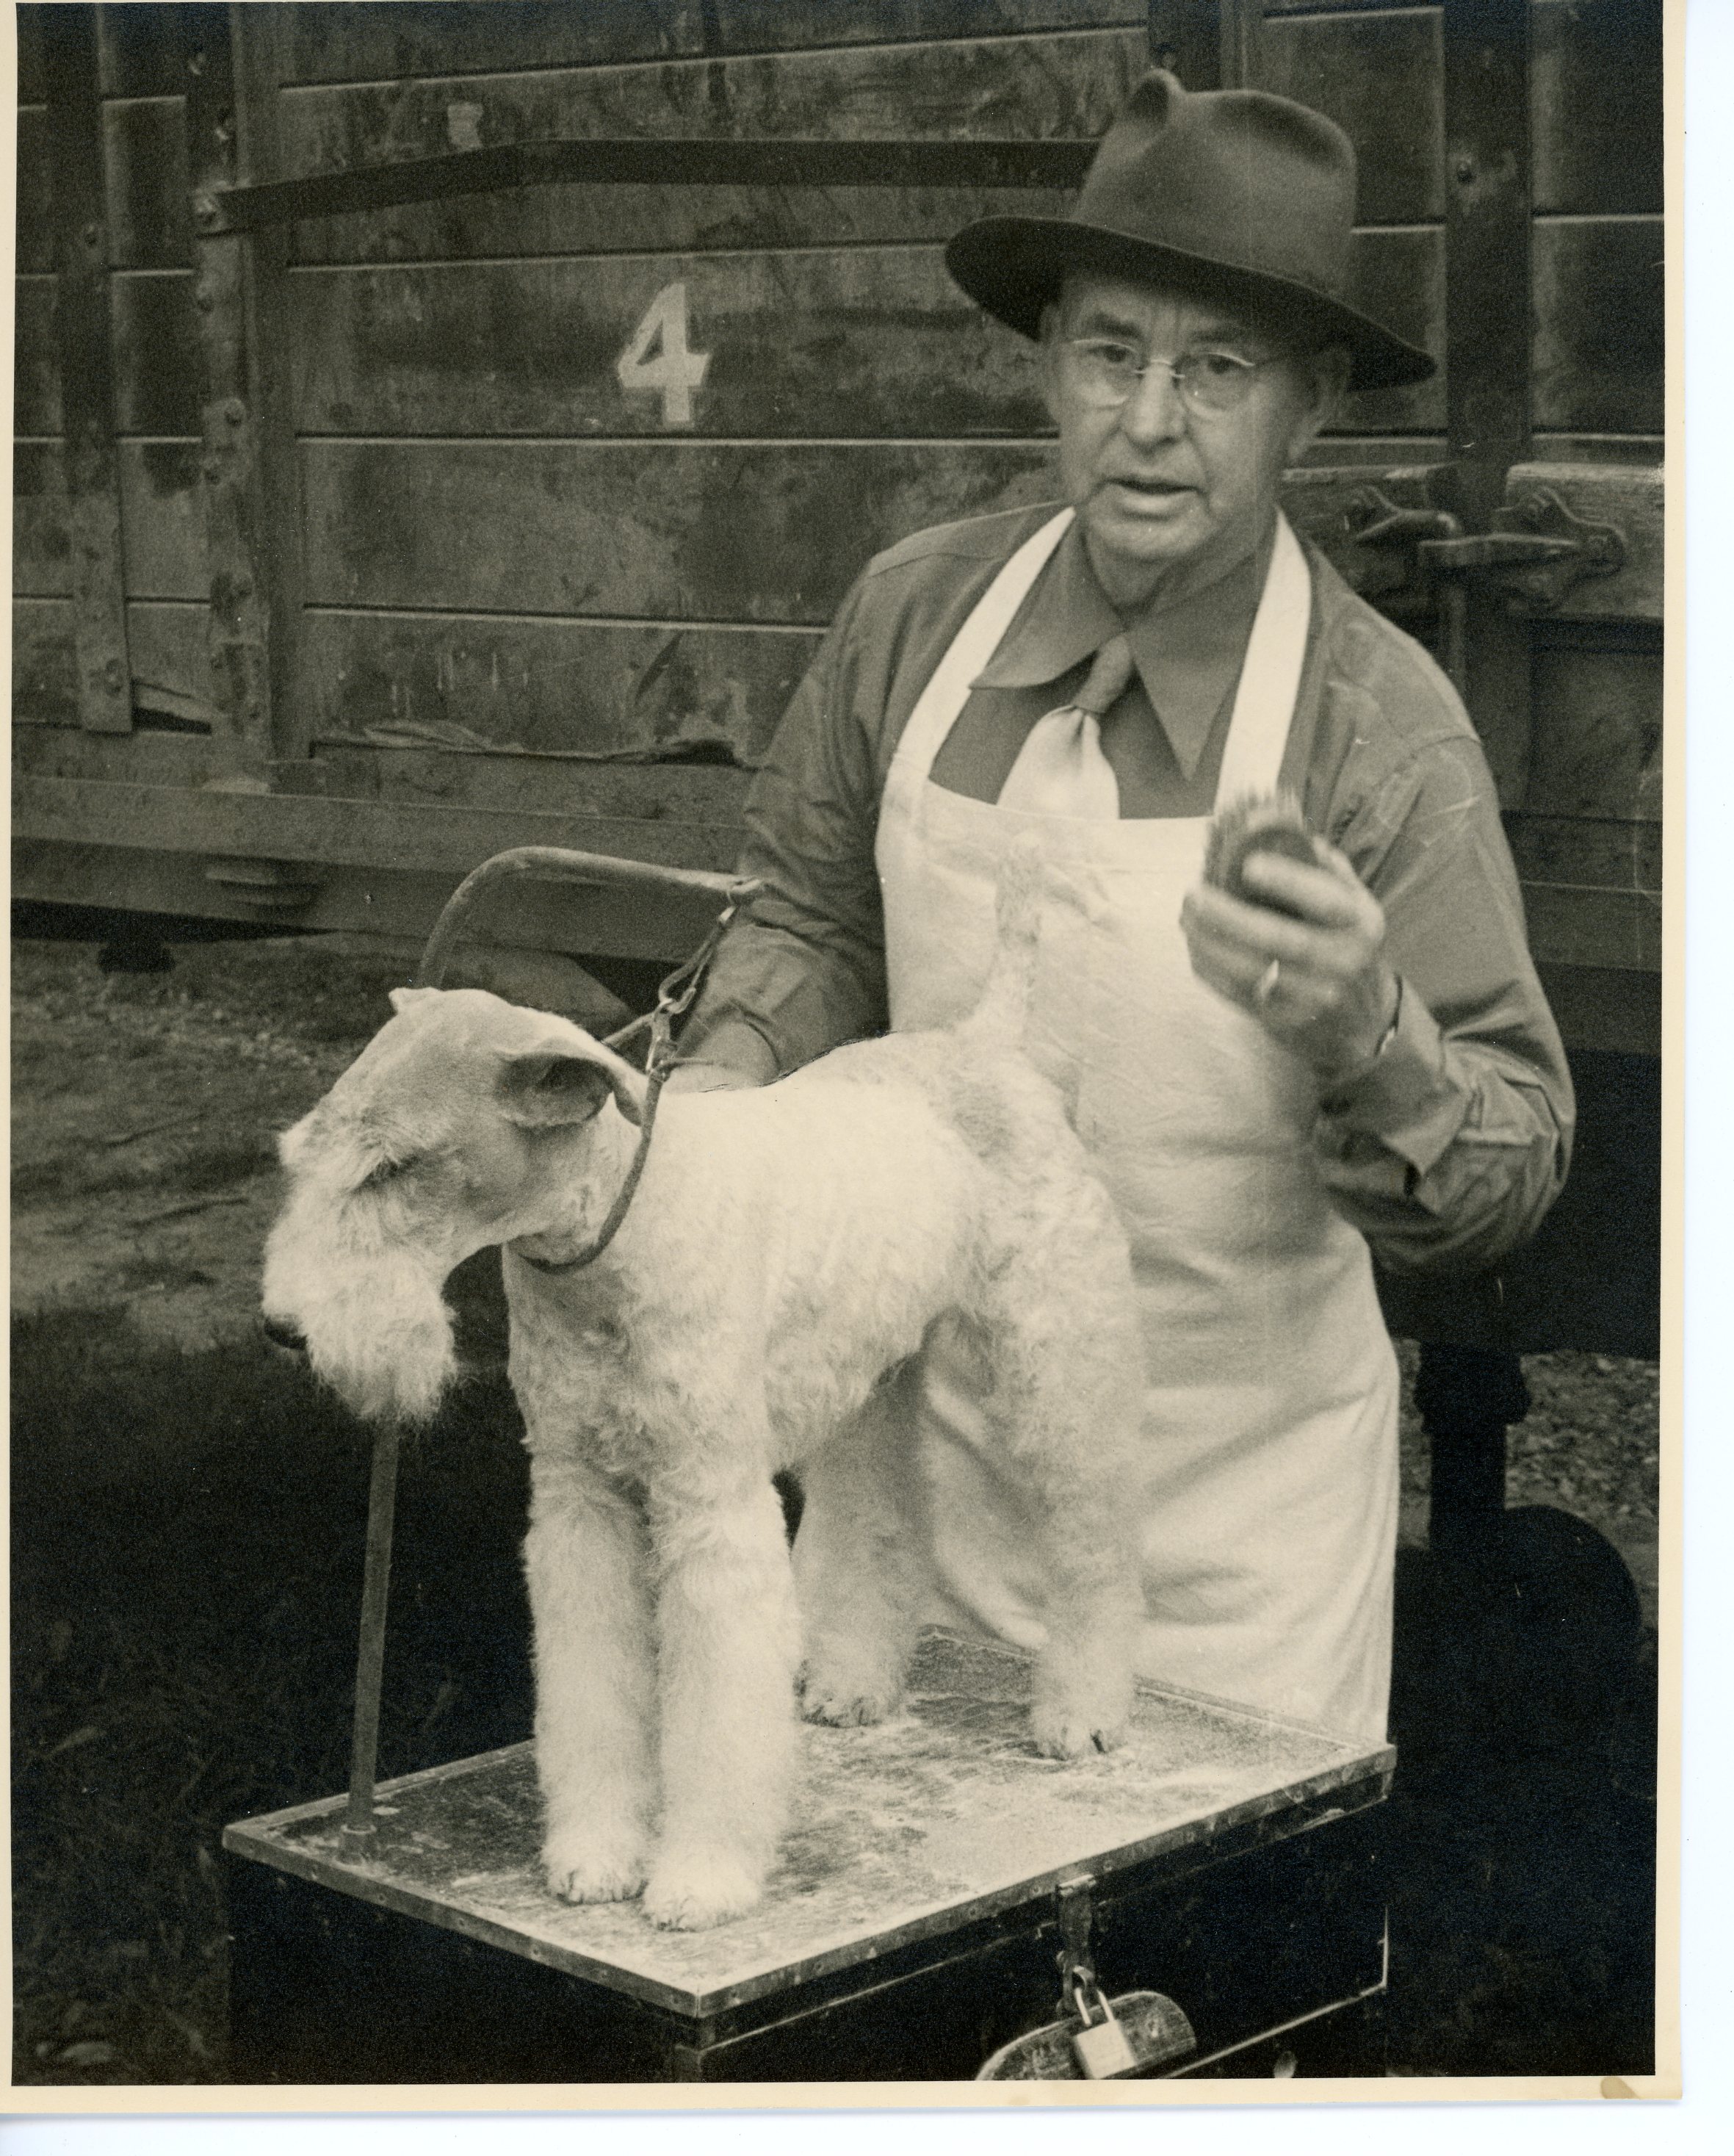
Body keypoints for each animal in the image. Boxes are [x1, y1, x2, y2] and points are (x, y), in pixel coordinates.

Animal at [261, 858, 1138, 1940]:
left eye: (393, 1165)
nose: (284, 1327)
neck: (615, 1230)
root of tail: (981, 1042)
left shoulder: (709, 1504)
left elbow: (714, 1714)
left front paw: (701, 1877)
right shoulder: (579, 1500)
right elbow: (593, 1694)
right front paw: (596, 1854)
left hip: (1056, 1361)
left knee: (1091, 1536)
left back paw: (1081, 1712)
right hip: (869, 1382)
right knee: (882, 1517)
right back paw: (855, 1682)